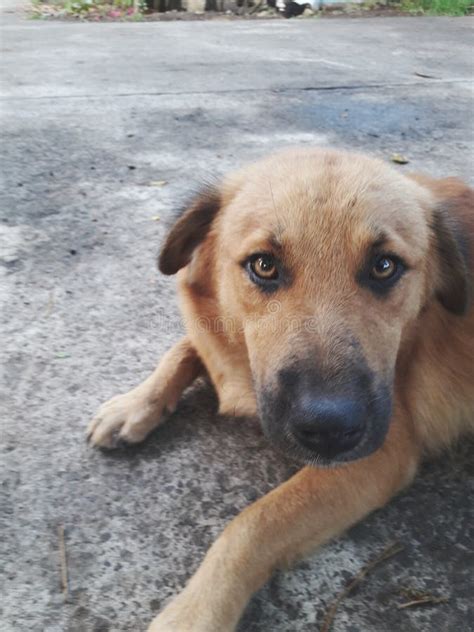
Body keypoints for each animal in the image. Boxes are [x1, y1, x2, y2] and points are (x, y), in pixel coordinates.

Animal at [87, 149, 472, 632]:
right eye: (264, 265)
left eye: (385, 266)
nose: (329, 428)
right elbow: (185, 346)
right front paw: (135, 404)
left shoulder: (379, 455)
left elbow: (252, 524)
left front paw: (194, 612)